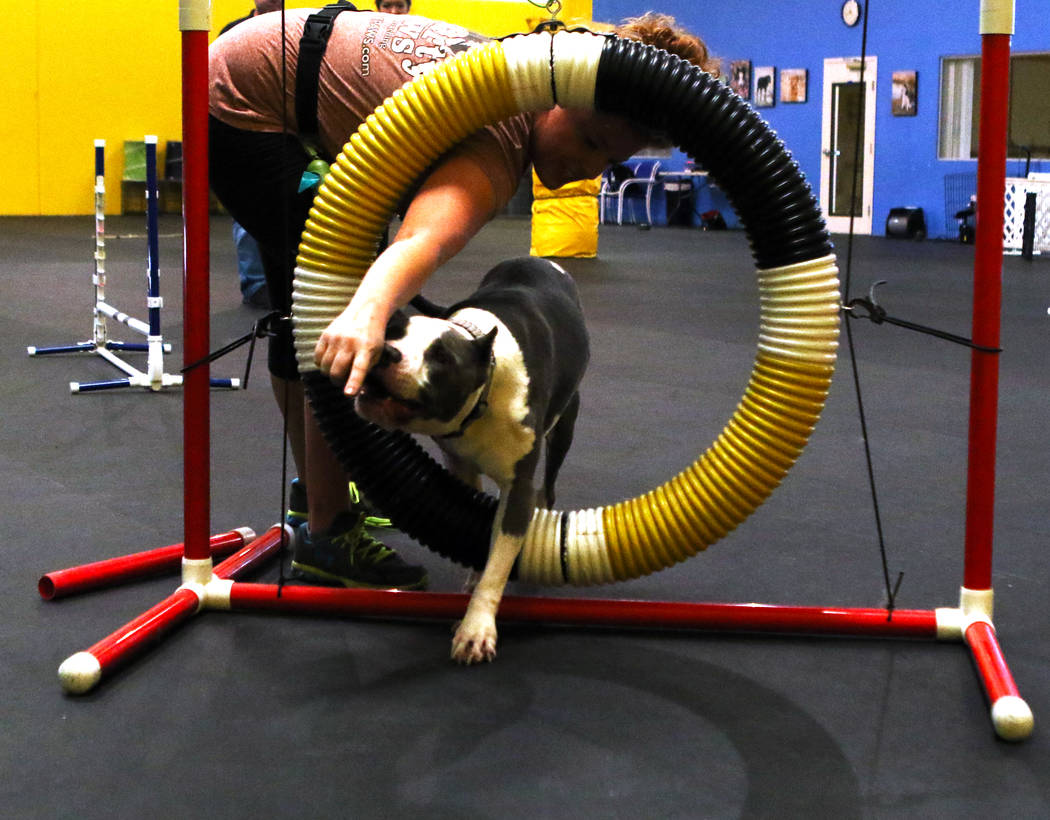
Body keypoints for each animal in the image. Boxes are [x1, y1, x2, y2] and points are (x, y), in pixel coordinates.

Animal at [354, 256, 589, 664]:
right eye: (392, 333)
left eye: (441, 357)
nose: (386, 353)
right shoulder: (459, 466)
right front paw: (473, 582)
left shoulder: (518, 489)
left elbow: (499, 562)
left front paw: (476, 627)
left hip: (565, 425)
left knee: (549, 486)